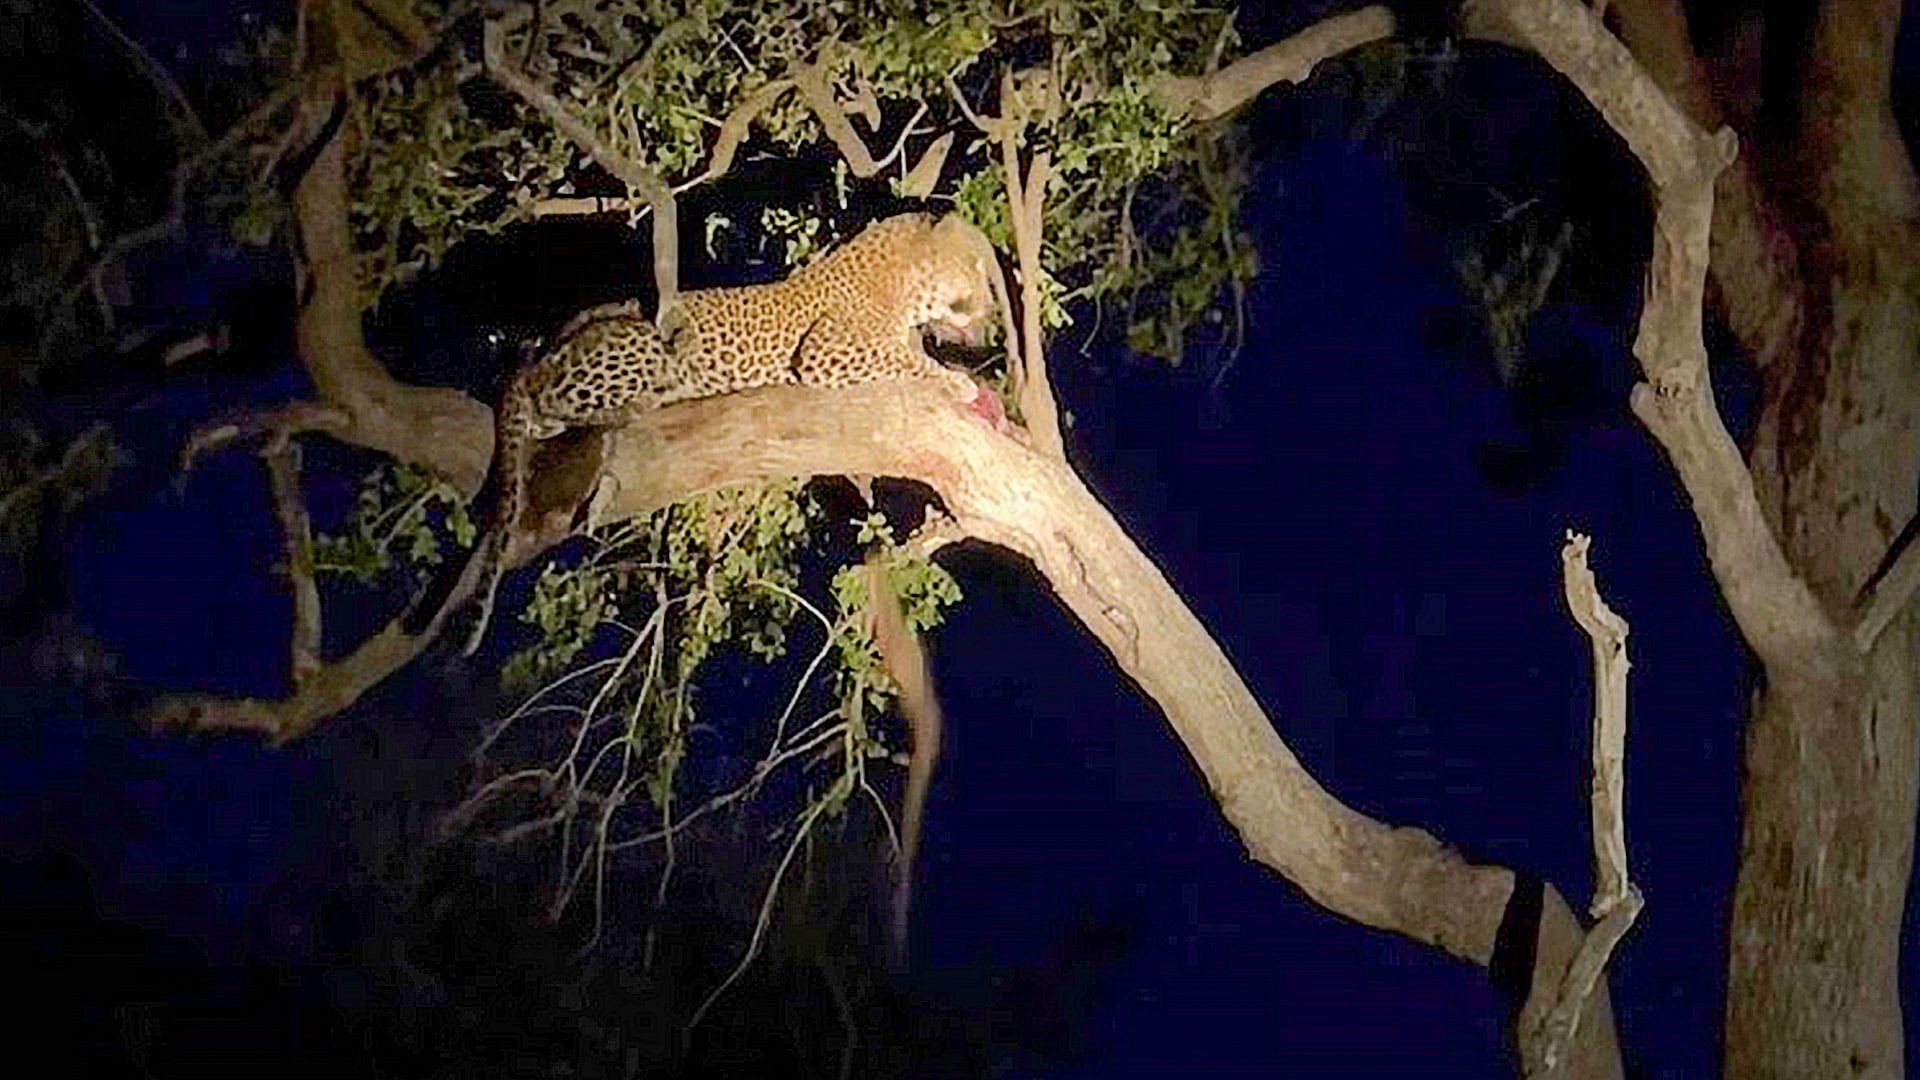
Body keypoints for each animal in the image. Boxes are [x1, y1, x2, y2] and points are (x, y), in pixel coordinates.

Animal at [459, 211, 1011, 657]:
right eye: (978, 274)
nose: (991, 322)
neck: (903, 285)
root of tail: (553, 345)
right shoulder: (828, 351)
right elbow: (908, 361)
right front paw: (958, 382)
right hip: (645, 349)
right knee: (550, 399)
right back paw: (632, 404)